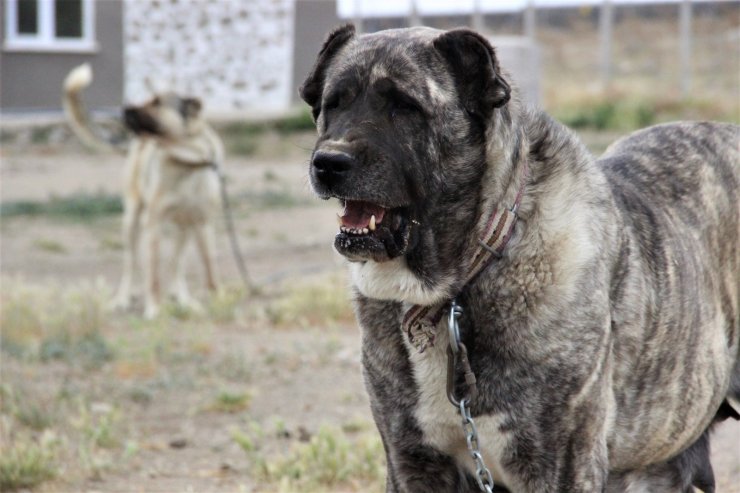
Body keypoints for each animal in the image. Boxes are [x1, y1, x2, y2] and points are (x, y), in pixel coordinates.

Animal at [64, 63, 224, 318]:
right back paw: (122, 299)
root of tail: (136, 142)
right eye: (148, 98)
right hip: (131, 221)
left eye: (157, 102)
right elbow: (153, 276)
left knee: (176, 264)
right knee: (130, 264)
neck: (186, 160)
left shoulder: (204, 223)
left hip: (185, 229)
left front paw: (219, 302)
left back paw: (184, 300)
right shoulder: (154, 224)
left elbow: (210, 270)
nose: (124, 109)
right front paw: (154, 310)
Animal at [298, 26, 736, 492]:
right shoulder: (412, 462)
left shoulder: (559, 467)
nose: (328, 161)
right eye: (334, 103)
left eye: (405, 106)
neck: (456, 284)